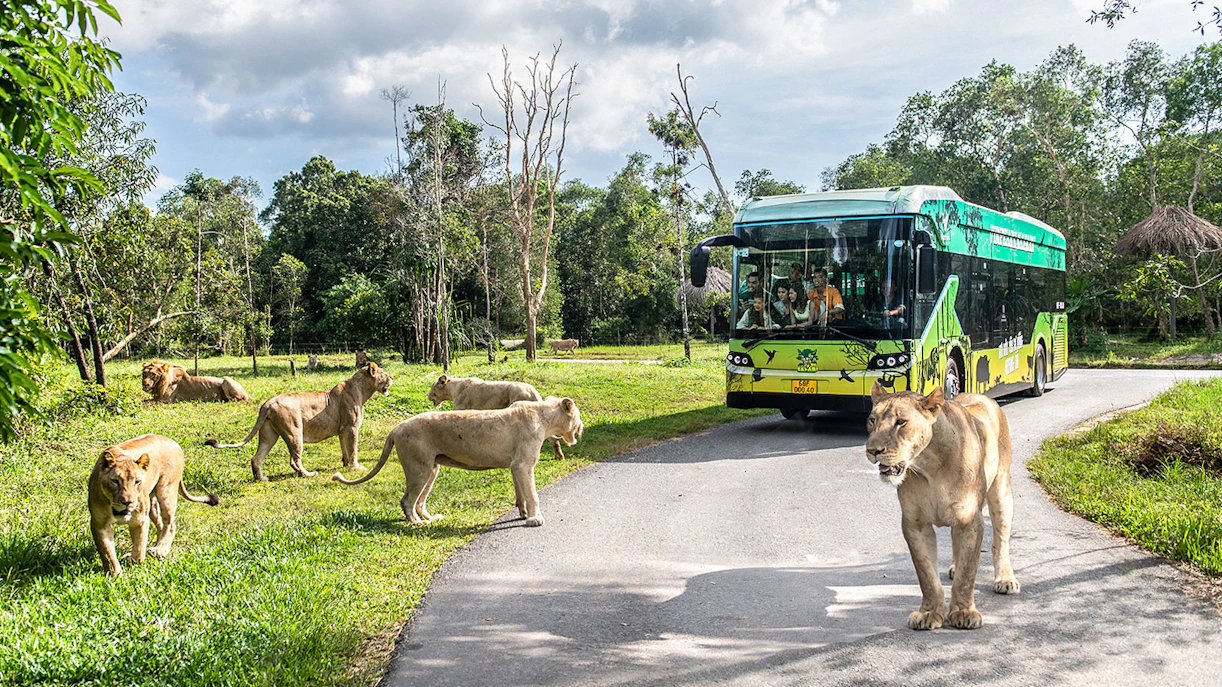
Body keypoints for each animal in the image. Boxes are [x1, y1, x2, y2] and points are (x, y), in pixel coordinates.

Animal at [89, 434, 219, 575]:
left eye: (137, 481)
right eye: (115, 481)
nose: (128, 502)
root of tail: (171, 440)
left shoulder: (140, 520)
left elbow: (139, 549)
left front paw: (132, 561)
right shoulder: (99, 524)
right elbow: (107, 552)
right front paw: (115, 575)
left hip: (166, 492)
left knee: (170, 525)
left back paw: (160, 550)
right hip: (152, 504)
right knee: (161, 525)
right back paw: (157, 547)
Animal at [206, 363, 393, 481]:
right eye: (383, 374)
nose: (392, 377)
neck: (362, 390)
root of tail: (268, 403)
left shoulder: (342, 431)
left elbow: (345, 450)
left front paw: (346, 465)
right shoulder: (351, 428)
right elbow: (353, 449)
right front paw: (356, 468)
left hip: (269, 434)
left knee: (256, 457)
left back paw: (262, 478)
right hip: (295, 431)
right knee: (294, 460)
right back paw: (309, 474)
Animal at [332, 397, 584, 527]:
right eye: (578, 416)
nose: (581, 427)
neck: (545, 418)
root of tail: (395, 429)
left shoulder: (516, 466)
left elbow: (521, 493)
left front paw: (523, 513)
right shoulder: (523, 465)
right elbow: (533, 494)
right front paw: (535, 519)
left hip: (431, 469)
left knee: (420, 501)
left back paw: (431, 517)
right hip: (419, 468)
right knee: (407, 500)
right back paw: (418, 523)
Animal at [426, 374, 567, 459]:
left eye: (432, 386)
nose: (427, 395)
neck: (453, 389)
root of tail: (532, 391)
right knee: (553, 438)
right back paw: (559, 456)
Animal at [865, 382, 1019, 631]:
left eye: (901, 422)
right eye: (872, 420)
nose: (872, 451)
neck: (930, 467)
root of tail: (981, 396)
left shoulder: (970, 519)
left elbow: (967, 575)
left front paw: (964, 613)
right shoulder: (915, 524)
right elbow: (927, 574)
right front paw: (929, 614)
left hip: (1001, 491)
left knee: (1001, 540)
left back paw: (1005, 579)